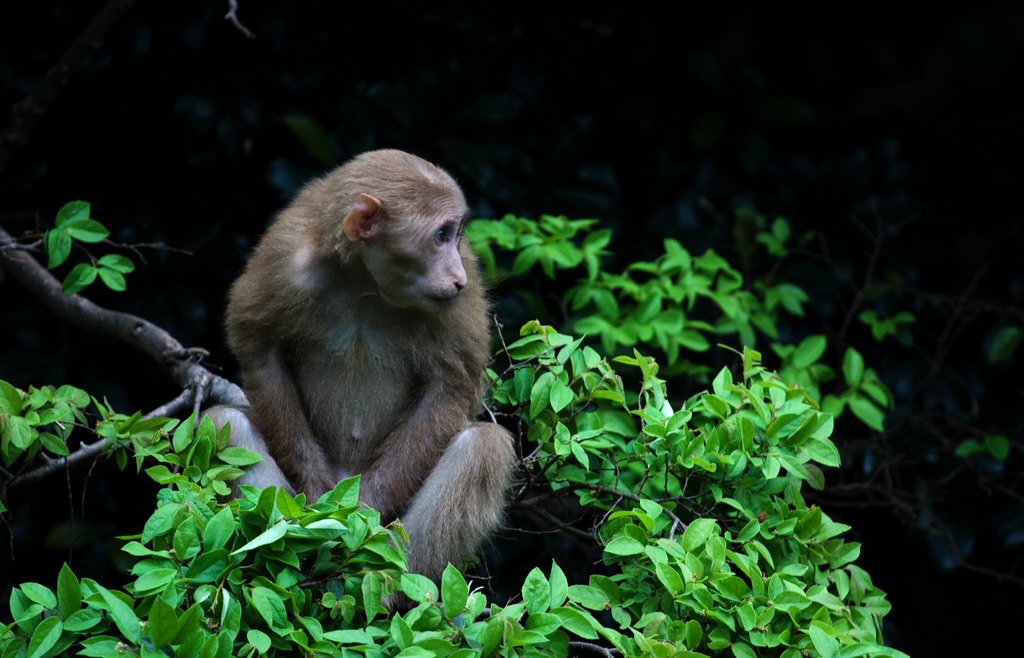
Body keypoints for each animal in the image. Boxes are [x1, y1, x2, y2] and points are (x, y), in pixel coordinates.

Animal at [203, 149, 516, 581]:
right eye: (440, 235)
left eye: (454, 236)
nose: (458, 277)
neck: (363, 282)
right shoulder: (282, 258)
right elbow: (261, 352)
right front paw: (314, 494)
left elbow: (451, 384)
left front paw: (365, 509)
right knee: (228, 424)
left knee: (481, 447)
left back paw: (390, 584)